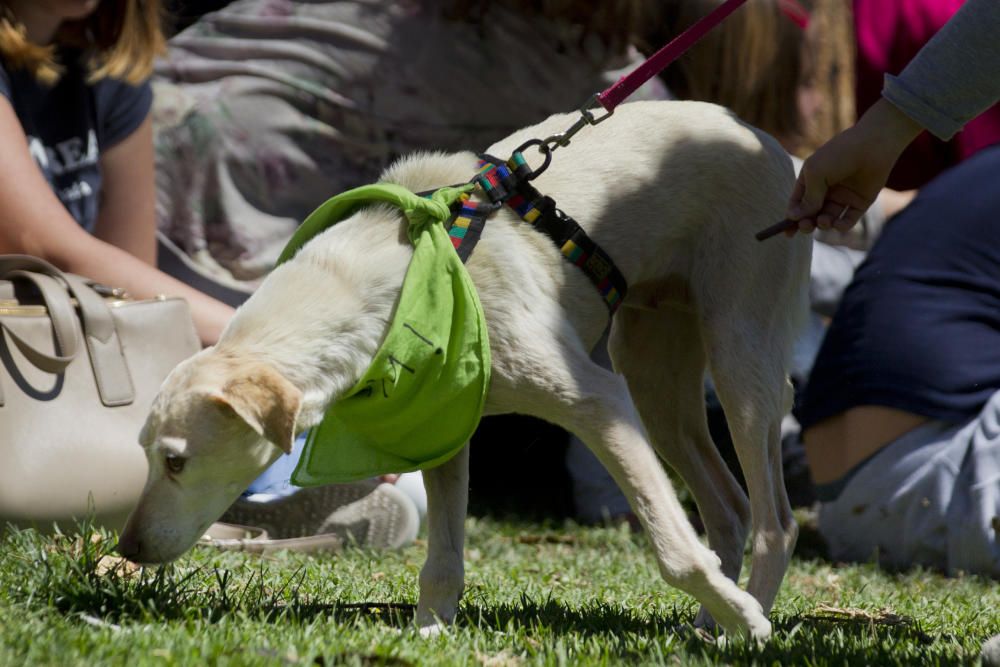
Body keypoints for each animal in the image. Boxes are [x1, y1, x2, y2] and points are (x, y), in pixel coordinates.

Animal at [119, 100, 812, 640]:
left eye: (176, 461)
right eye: (146, 455)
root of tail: (766, 138)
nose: (125, 549)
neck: (398, 273)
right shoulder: (441, 419)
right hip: (654, 376)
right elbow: (444, 556)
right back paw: (711, 622)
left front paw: (749, 622)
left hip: (735, 355)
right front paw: (430, 633)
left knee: (775, 522)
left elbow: (673, 551)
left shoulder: (599, 401)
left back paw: (744, 623)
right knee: (729, 508)